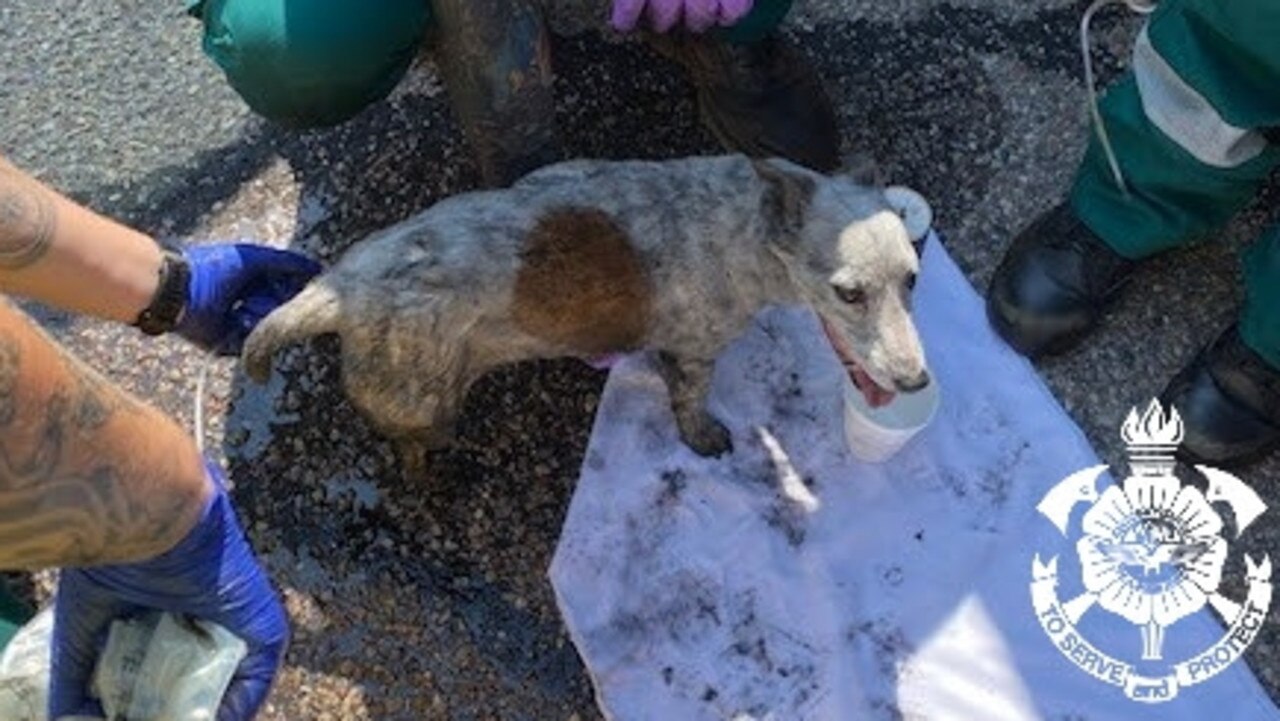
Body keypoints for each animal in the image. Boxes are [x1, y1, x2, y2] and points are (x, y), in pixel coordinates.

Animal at [241, 154, 931, 461]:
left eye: (913, 279)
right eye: (848, 293)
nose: (917, 380)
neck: (744, 224)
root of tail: (342, 288)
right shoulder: (697, 352)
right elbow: (691, 403)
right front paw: (704, 436)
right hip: (424, 403)